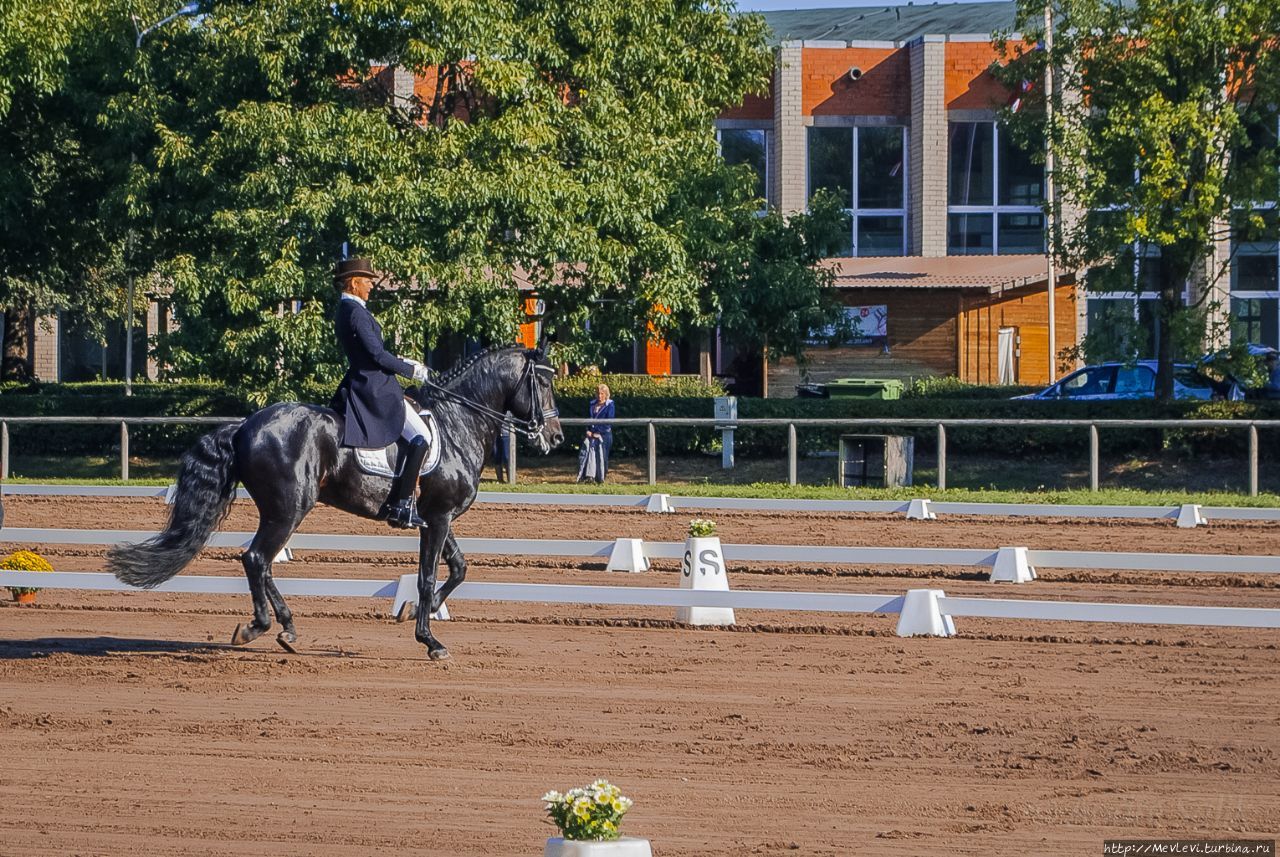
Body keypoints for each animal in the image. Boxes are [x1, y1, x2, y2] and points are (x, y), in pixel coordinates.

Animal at [111, 345, 565, 660]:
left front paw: (417, 613)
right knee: (256, 558)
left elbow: (458, 569)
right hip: (289, 508)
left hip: (282, 510)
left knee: (262, 561)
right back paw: (259, 627)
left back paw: (287, 629)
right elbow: (428, 576)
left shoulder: (437, 516)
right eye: (543, 383)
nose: (556, 437)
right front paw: (430, 640)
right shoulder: (438, 517)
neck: (457, 425)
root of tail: (243, 427)